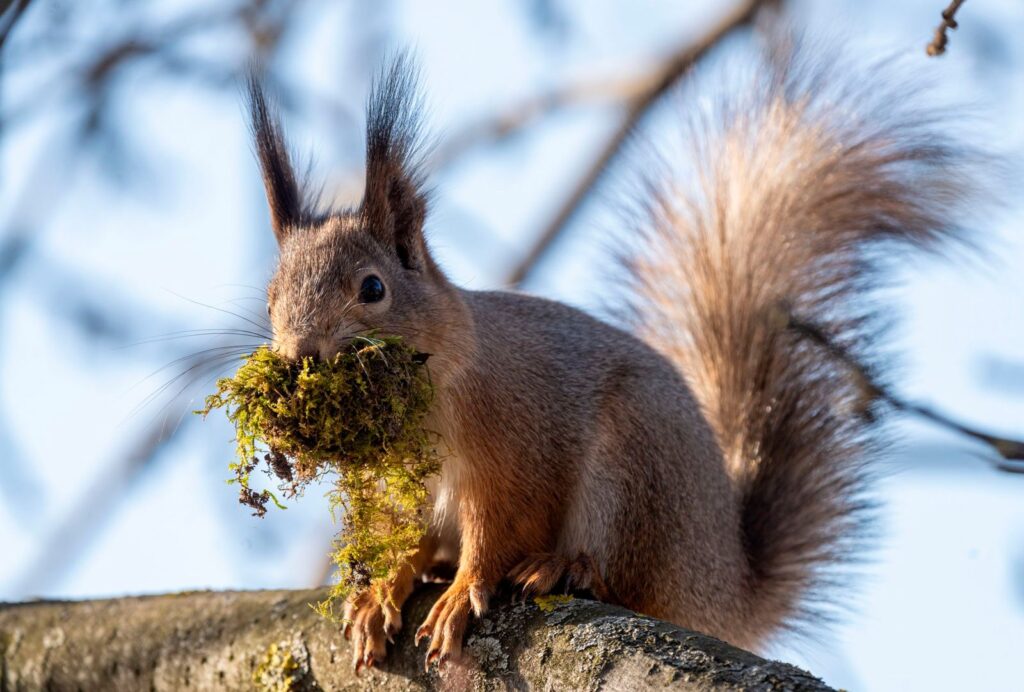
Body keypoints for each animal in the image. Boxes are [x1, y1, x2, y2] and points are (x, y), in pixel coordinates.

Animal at [246, 40, 977, 672]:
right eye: (270, 298)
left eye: (373, 289)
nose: (301, 354)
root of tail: (722, 586)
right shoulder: (391, 489)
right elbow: (400, 535)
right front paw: (380, 593)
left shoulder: (515, 449)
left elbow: (499, 527)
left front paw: (460, 594)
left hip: (635, 470)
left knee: (621, 574)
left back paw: (566, 566)